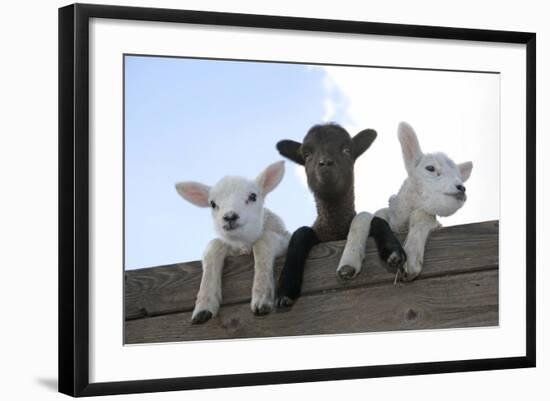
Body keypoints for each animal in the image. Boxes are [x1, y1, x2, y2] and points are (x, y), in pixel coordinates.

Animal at [177, 159, 292, 322]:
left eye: (253, 196)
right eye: (212, 204)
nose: (230, 217)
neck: (243, 243)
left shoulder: (286, 238)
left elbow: (263, 241)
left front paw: (262, 298)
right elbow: (214, 245)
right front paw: (203, 307)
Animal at [276, 122, 406, 306]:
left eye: (347, 150)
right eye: (306, 154)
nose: (325, 163)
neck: (335, 231)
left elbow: (377, 220)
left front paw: (393, 251)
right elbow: (301, 232)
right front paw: (286, 288)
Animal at [340, 122, 474, 282]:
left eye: (459, 176)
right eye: (430, 168)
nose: (462, 188)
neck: (400, 224)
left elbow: (422, 215)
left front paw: (411, 259)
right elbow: (363, 216)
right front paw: (348, 262)